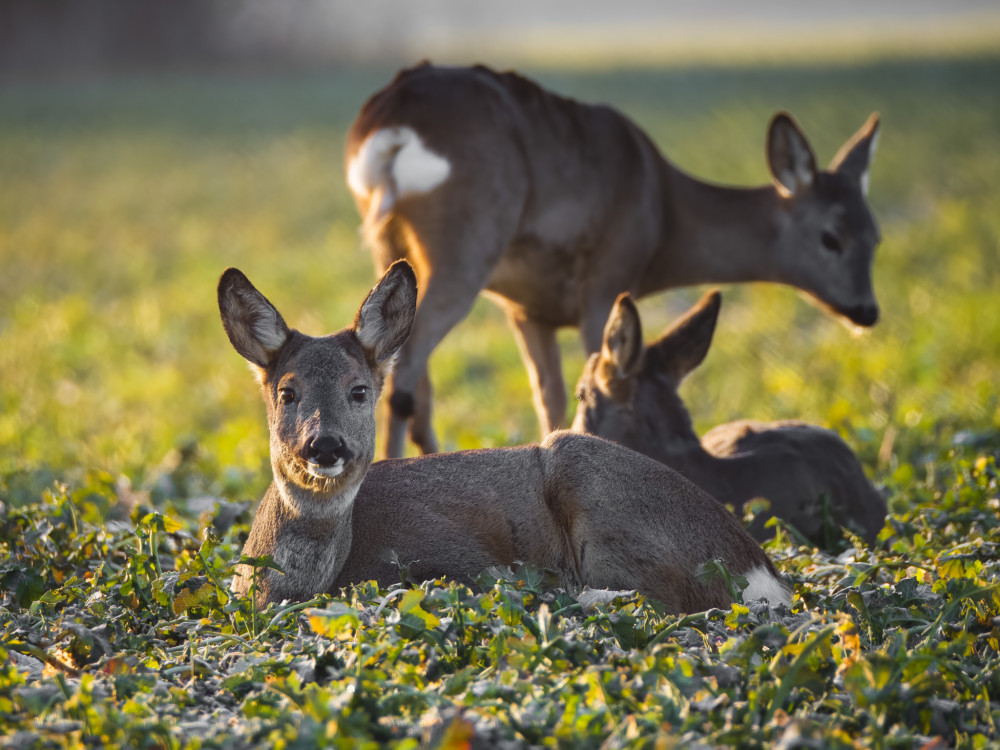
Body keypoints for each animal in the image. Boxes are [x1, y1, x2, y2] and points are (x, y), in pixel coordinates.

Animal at [346, 63, 884, 458]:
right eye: (831, 238)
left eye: (876, 237)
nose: (867, 311)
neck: (664, 218)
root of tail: (388, 123)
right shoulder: (607, 280)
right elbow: (598, 376)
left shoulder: (527, 309)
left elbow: (549, 398)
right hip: (465, 242)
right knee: (406, 374)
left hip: (389, 244)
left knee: (409, 371)